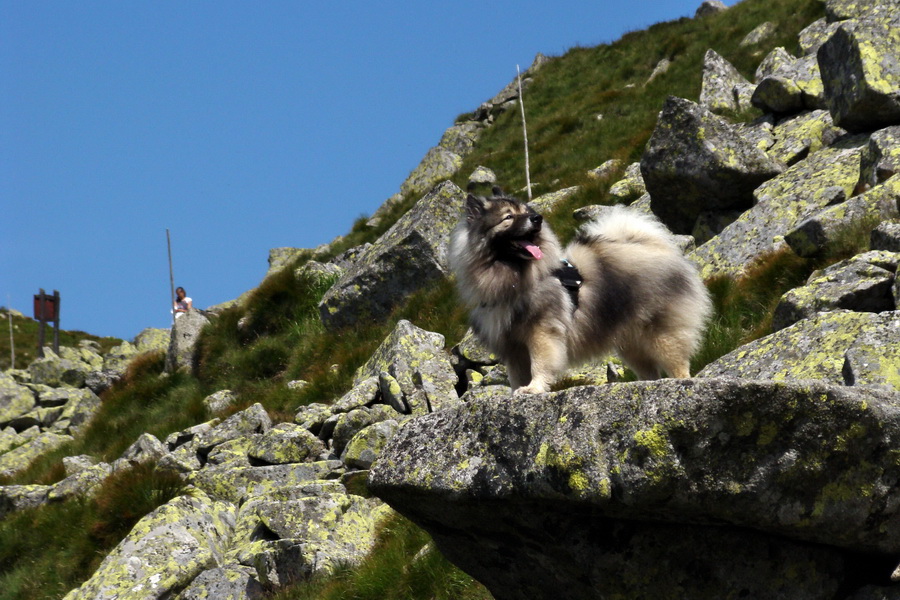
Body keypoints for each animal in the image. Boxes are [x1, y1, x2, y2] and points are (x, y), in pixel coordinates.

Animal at [448, 188, 712, 394]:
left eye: (525, 211)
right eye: (508, 217)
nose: (537, 218)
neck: (513, 279)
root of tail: (656, 248)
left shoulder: (541, 334)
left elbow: (540, 365)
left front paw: (534, 389)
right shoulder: (513, 348)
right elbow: (517, 376)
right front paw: (517, 392)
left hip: (661, 335)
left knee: (678, 363)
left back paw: (680, 383)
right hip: (631, 344)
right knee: (649, 371)